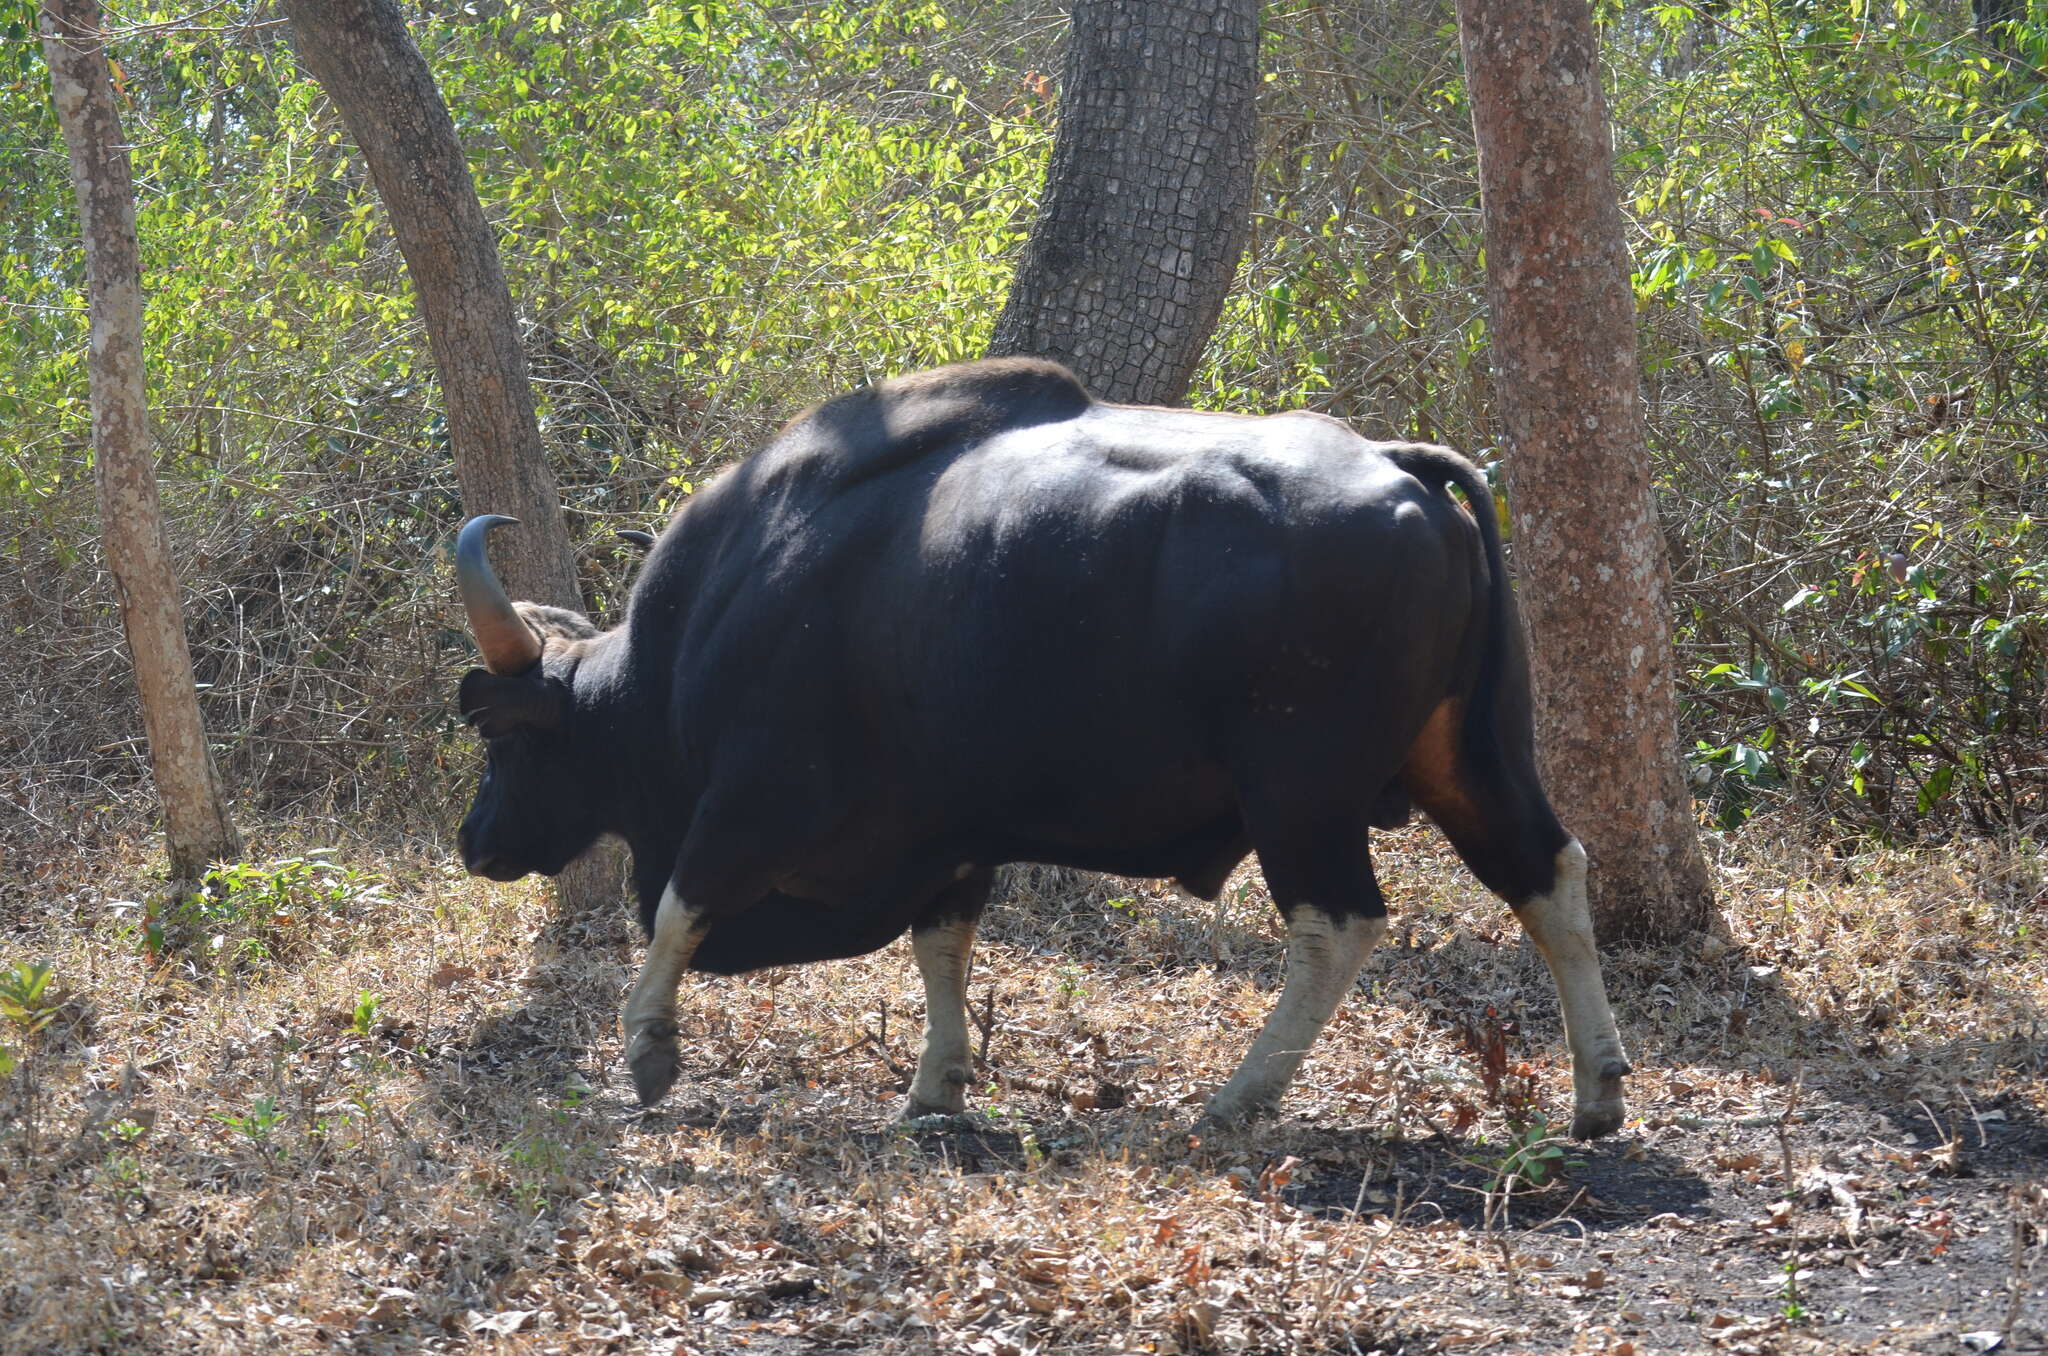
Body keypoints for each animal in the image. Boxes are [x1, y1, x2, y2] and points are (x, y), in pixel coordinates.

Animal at [452, 358, 1630, 1138]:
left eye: (501, 737)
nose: (474, 842)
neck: (715, 616)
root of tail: (1398, 468)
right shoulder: (945, 829)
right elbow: (941, 944)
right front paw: (936, 1086)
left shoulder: (753, 797)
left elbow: (676, 907)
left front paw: (647, 1046)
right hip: (1467, 754)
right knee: (1546, 871)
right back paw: (1596, 1091)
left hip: (1300, 791)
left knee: (1337, 924)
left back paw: (1236, 1098)